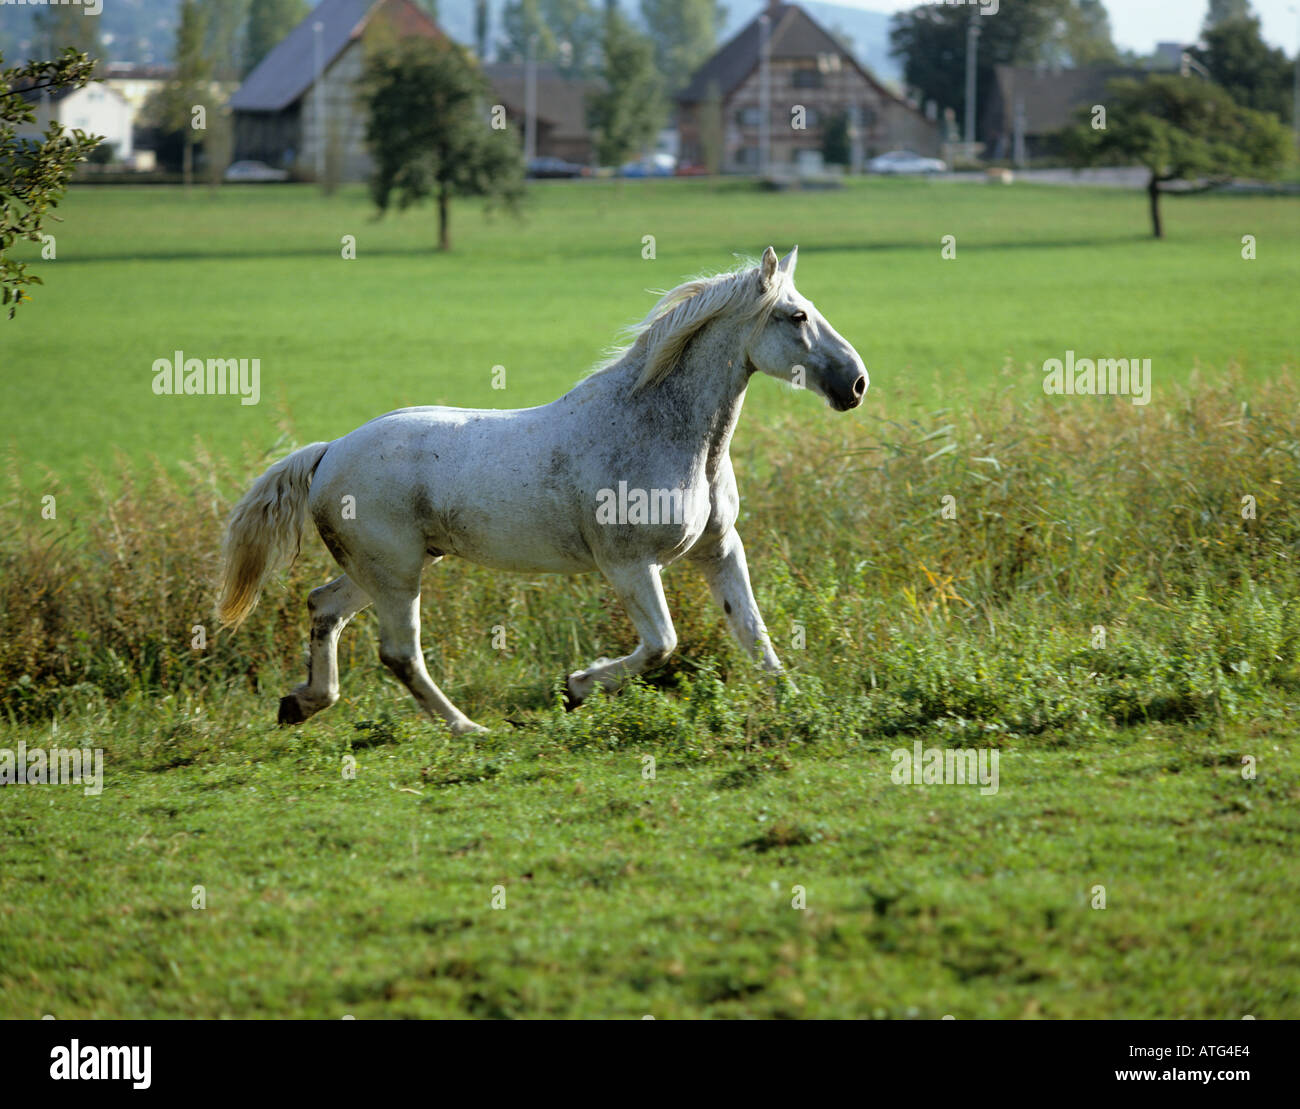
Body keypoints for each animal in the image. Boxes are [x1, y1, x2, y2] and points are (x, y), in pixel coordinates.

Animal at [218, 250, 868, 733]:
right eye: (796, 317)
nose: (856, 384)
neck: (660, 430)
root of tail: (329, 452)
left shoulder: (718, 549)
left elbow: (754, 636)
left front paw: (797, 704)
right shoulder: (630, 564)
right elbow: (662, 644)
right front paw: (576, 688)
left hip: (387, 568)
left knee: (324, 607)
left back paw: (301, 704)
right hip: (397, 572)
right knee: (399, 653)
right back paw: (469, 729)